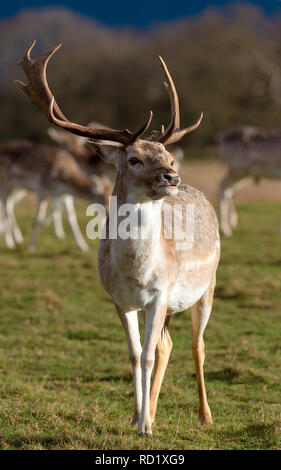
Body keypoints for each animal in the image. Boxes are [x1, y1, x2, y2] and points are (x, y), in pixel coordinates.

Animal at [16, 40, 220, 436]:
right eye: (135, 159)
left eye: (169, 156)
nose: (171, 177)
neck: (137, 273)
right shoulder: (119, 299)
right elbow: (135, 353)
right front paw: (139, 418)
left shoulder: (160, 293)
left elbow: (147, 355)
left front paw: (145, 428)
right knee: (167, 344)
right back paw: (150, 411)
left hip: (208, 285)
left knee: (197, 344)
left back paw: (205, 416)